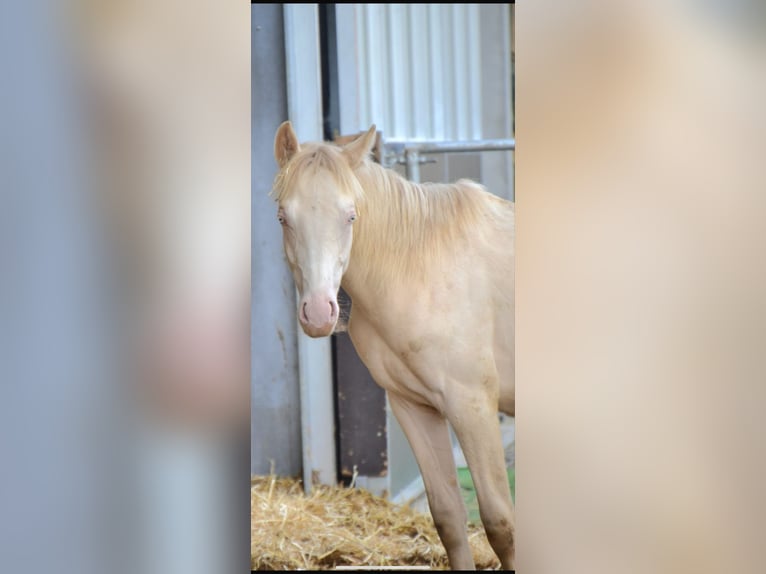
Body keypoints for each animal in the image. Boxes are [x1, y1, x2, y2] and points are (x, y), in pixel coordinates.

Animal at [270, 121, 516, 572]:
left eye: (350, 215)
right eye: (283, 217)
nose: (319, 313)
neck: (419, 267)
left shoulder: (473, 406)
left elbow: (499, 524)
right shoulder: (413, 406)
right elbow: (450, 519)